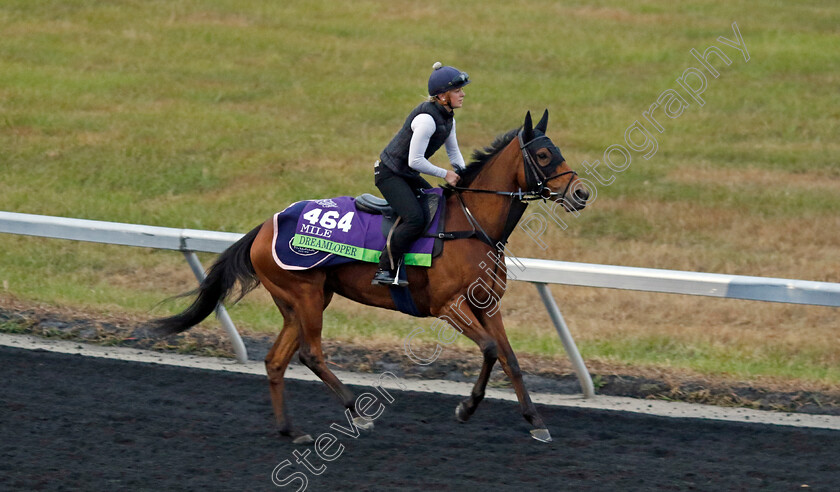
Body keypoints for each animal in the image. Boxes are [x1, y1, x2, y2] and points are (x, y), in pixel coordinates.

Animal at [156, 109, 592, 444]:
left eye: (557, 150)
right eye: (543, 154)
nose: (581, 193)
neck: (471, 226)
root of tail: (265, 225)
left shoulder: (487, 304)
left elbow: (509, 358)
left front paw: (535, 421)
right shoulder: (448, 306)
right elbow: (488, 350)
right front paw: (466, 408)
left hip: (301, 300)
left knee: (276, 360)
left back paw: (290, 430)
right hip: (305, 296)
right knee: (310, 354)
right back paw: (356, 411)